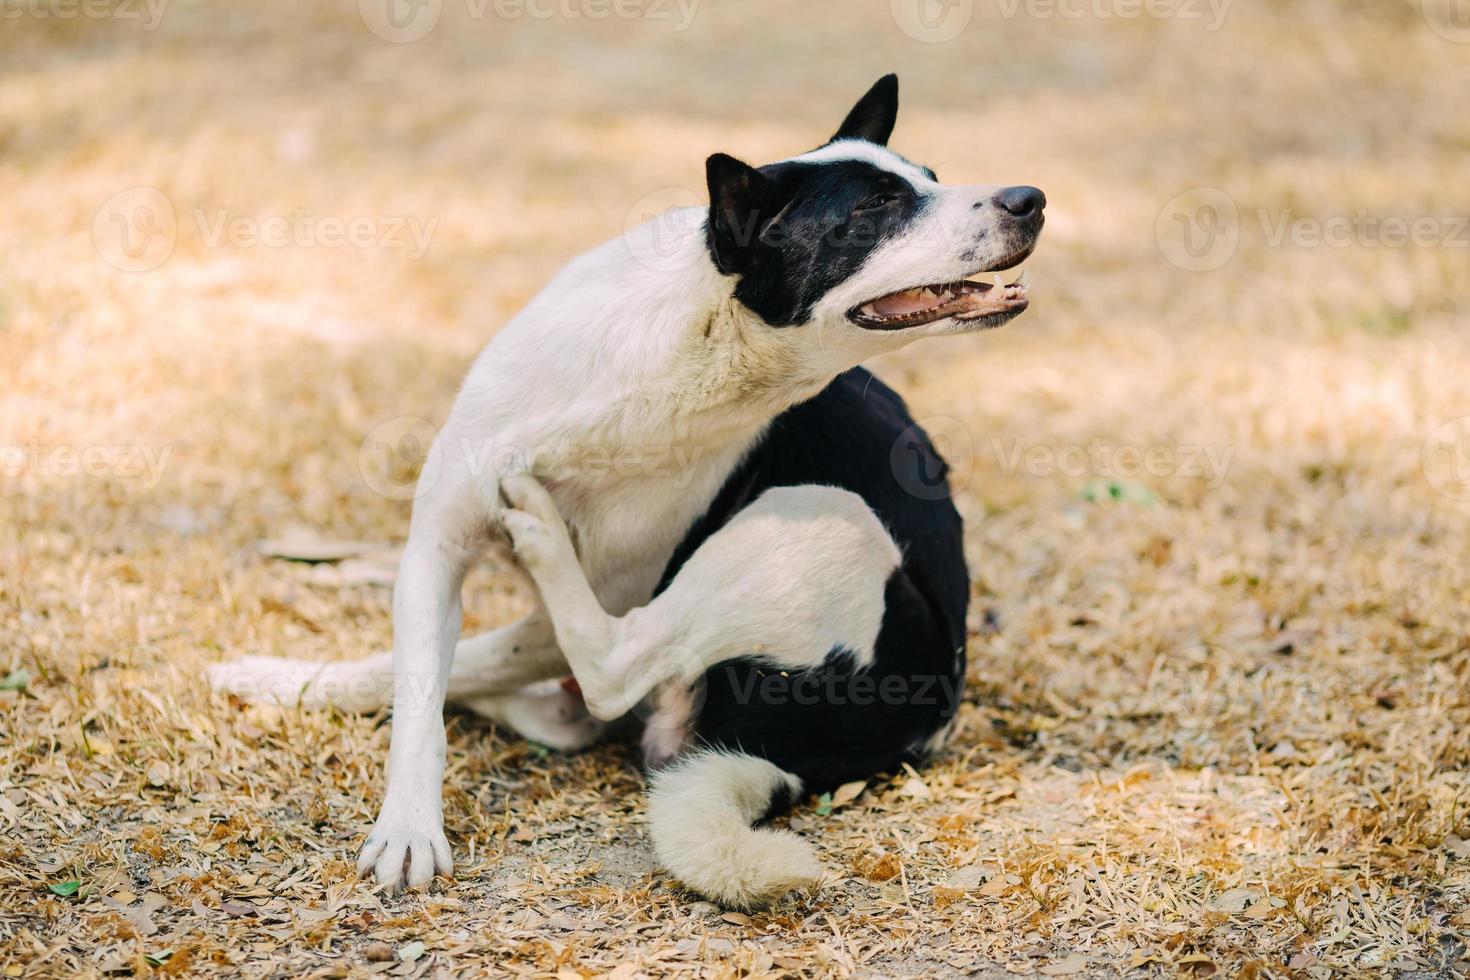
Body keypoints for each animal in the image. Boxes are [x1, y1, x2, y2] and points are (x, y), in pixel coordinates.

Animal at [213, 72, 1046, 910]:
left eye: (928, 180)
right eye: (878, 205)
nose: (1031, 198)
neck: (688, 349)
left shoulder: (606, 590)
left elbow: (478, 662)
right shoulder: (437, 545)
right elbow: (421, 689)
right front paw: (406, 822)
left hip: (822, 518)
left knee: (608, 671)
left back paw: (537, 539)